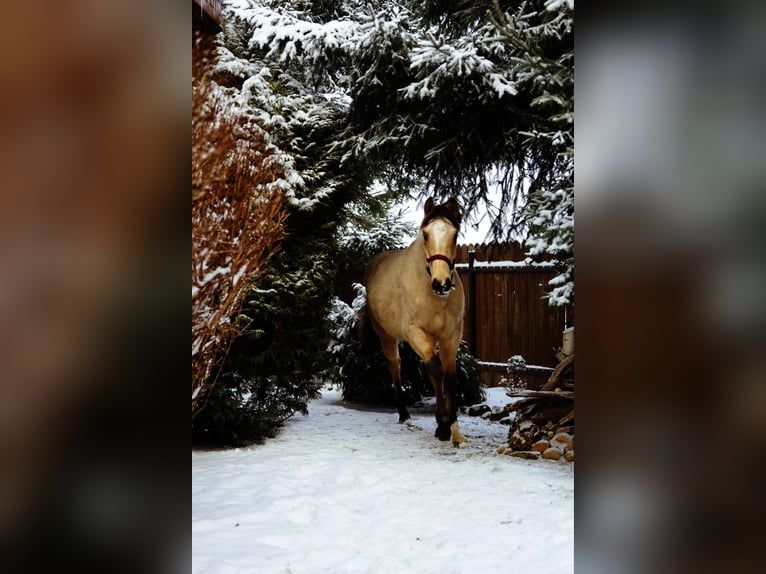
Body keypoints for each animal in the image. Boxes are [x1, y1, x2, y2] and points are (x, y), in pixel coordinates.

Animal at [362, 197, 467, 446]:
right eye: (426, 235)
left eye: (455, 235)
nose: (442, 283)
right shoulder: (415, 332)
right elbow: (436, 370)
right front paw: (443, 427)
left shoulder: (451, 336)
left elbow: (450, 377)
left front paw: (456, 431)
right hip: (387, 337)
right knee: (396, 366)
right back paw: (404, 414)